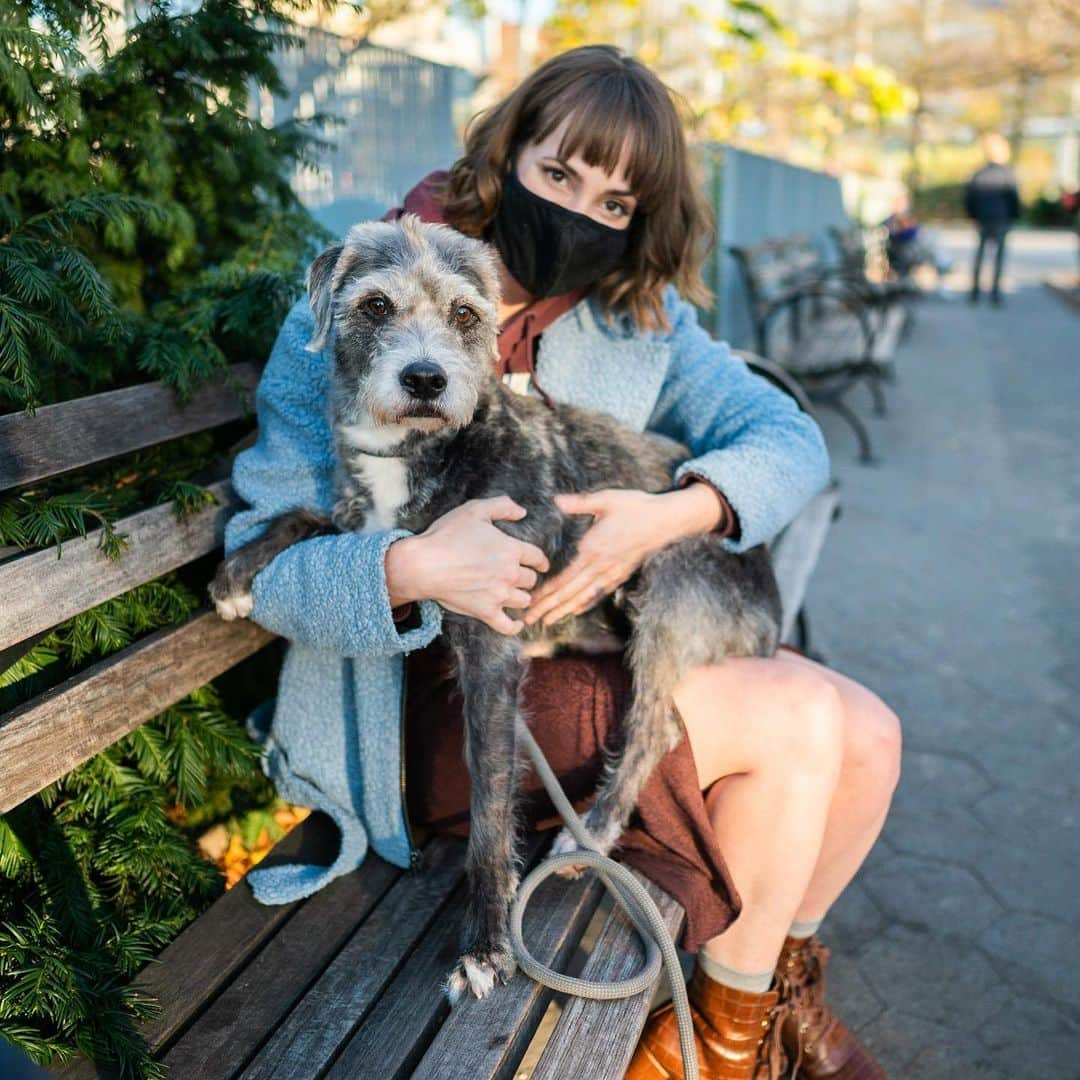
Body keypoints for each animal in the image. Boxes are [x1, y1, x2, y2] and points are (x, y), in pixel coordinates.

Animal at [210, 210, 781, 1002]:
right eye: (376, 305)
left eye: (464, 314)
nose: (426, 378)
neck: (421, 450)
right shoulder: (374, 531)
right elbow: (306, 516)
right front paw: (239, 570)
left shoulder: (491, 656)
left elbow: (488, 814)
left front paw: (483, 945)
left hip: (669, 579)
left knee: (655, 728)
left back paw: (591, 828)